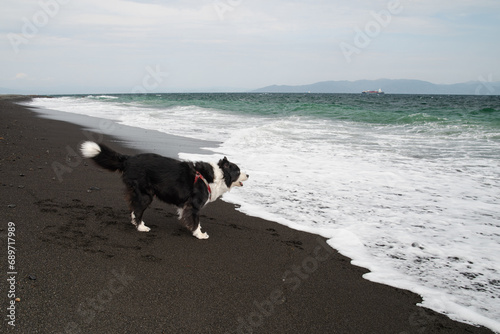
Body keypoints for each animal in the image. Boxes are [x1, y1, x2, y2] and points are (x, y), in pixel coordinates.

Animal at [79, 142, 248, 239]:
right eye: (238, 171)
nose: (248, 175)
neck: (216, 176)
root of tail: (128, 159)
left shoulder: (187, 205)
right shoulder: (194, 205)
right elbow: (195, 220)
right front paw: (199, 234)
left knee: (134, 208)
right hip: (146, 194)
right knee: (137, 210)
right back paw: (141, 227)